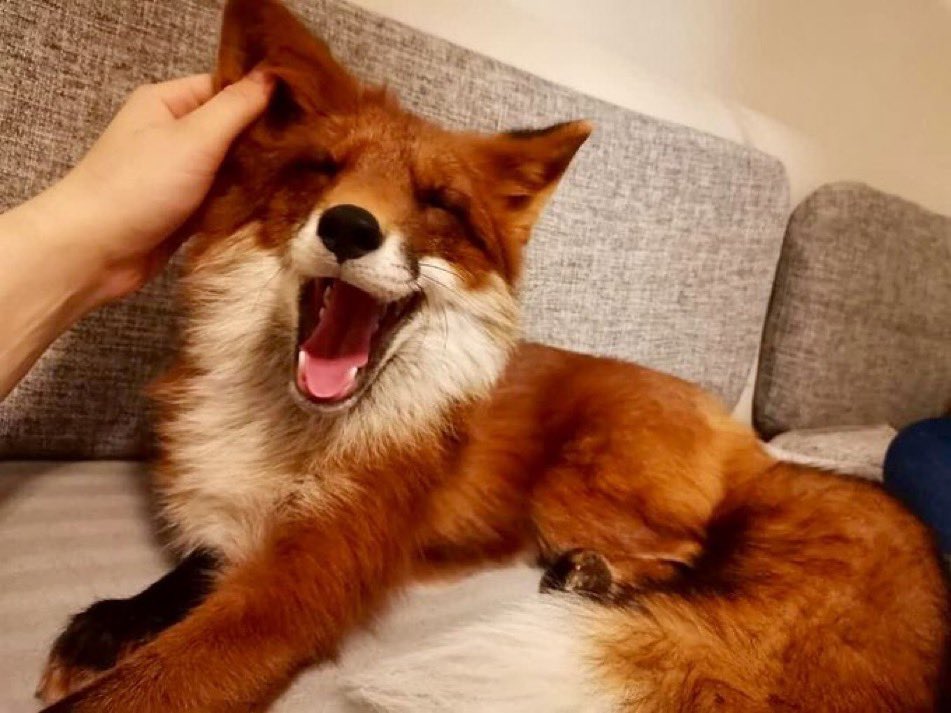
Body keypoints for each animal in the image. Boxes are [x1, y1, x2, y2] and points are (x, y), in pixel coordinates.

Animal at [37, 0, 949, 711]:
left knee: (691, 552)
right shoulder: (258, 534)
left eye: (437, 205)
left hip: (569, 488)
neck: (292, 430)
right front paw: (109, 623)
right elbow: (191, 571)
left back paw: (603, 587)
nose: (349, 227)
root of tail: (743, 435)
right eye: (321, 171)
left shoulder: (307, 580)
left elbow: (144, 683)